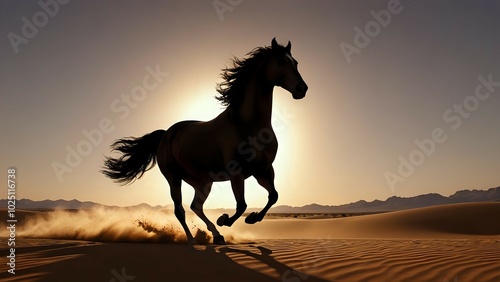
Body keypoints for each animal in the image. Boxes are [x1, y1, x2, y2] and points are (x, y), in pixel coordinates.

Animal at [102, 38, 308, 245]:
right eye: (280, 62)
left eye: (296, 62)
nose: (302, 89)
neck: (248, 125)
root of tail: (166, 134)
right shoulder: (236, 172)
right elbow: (241, 205)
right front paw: (224, 219)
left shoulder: (263, 170)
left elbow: (273, 196)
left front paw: (252, 218)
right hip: (173, 178)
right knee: (180, 210)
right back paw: (192, 239)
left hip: (202, 182)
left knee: (196, 206)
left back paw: (216, 235)